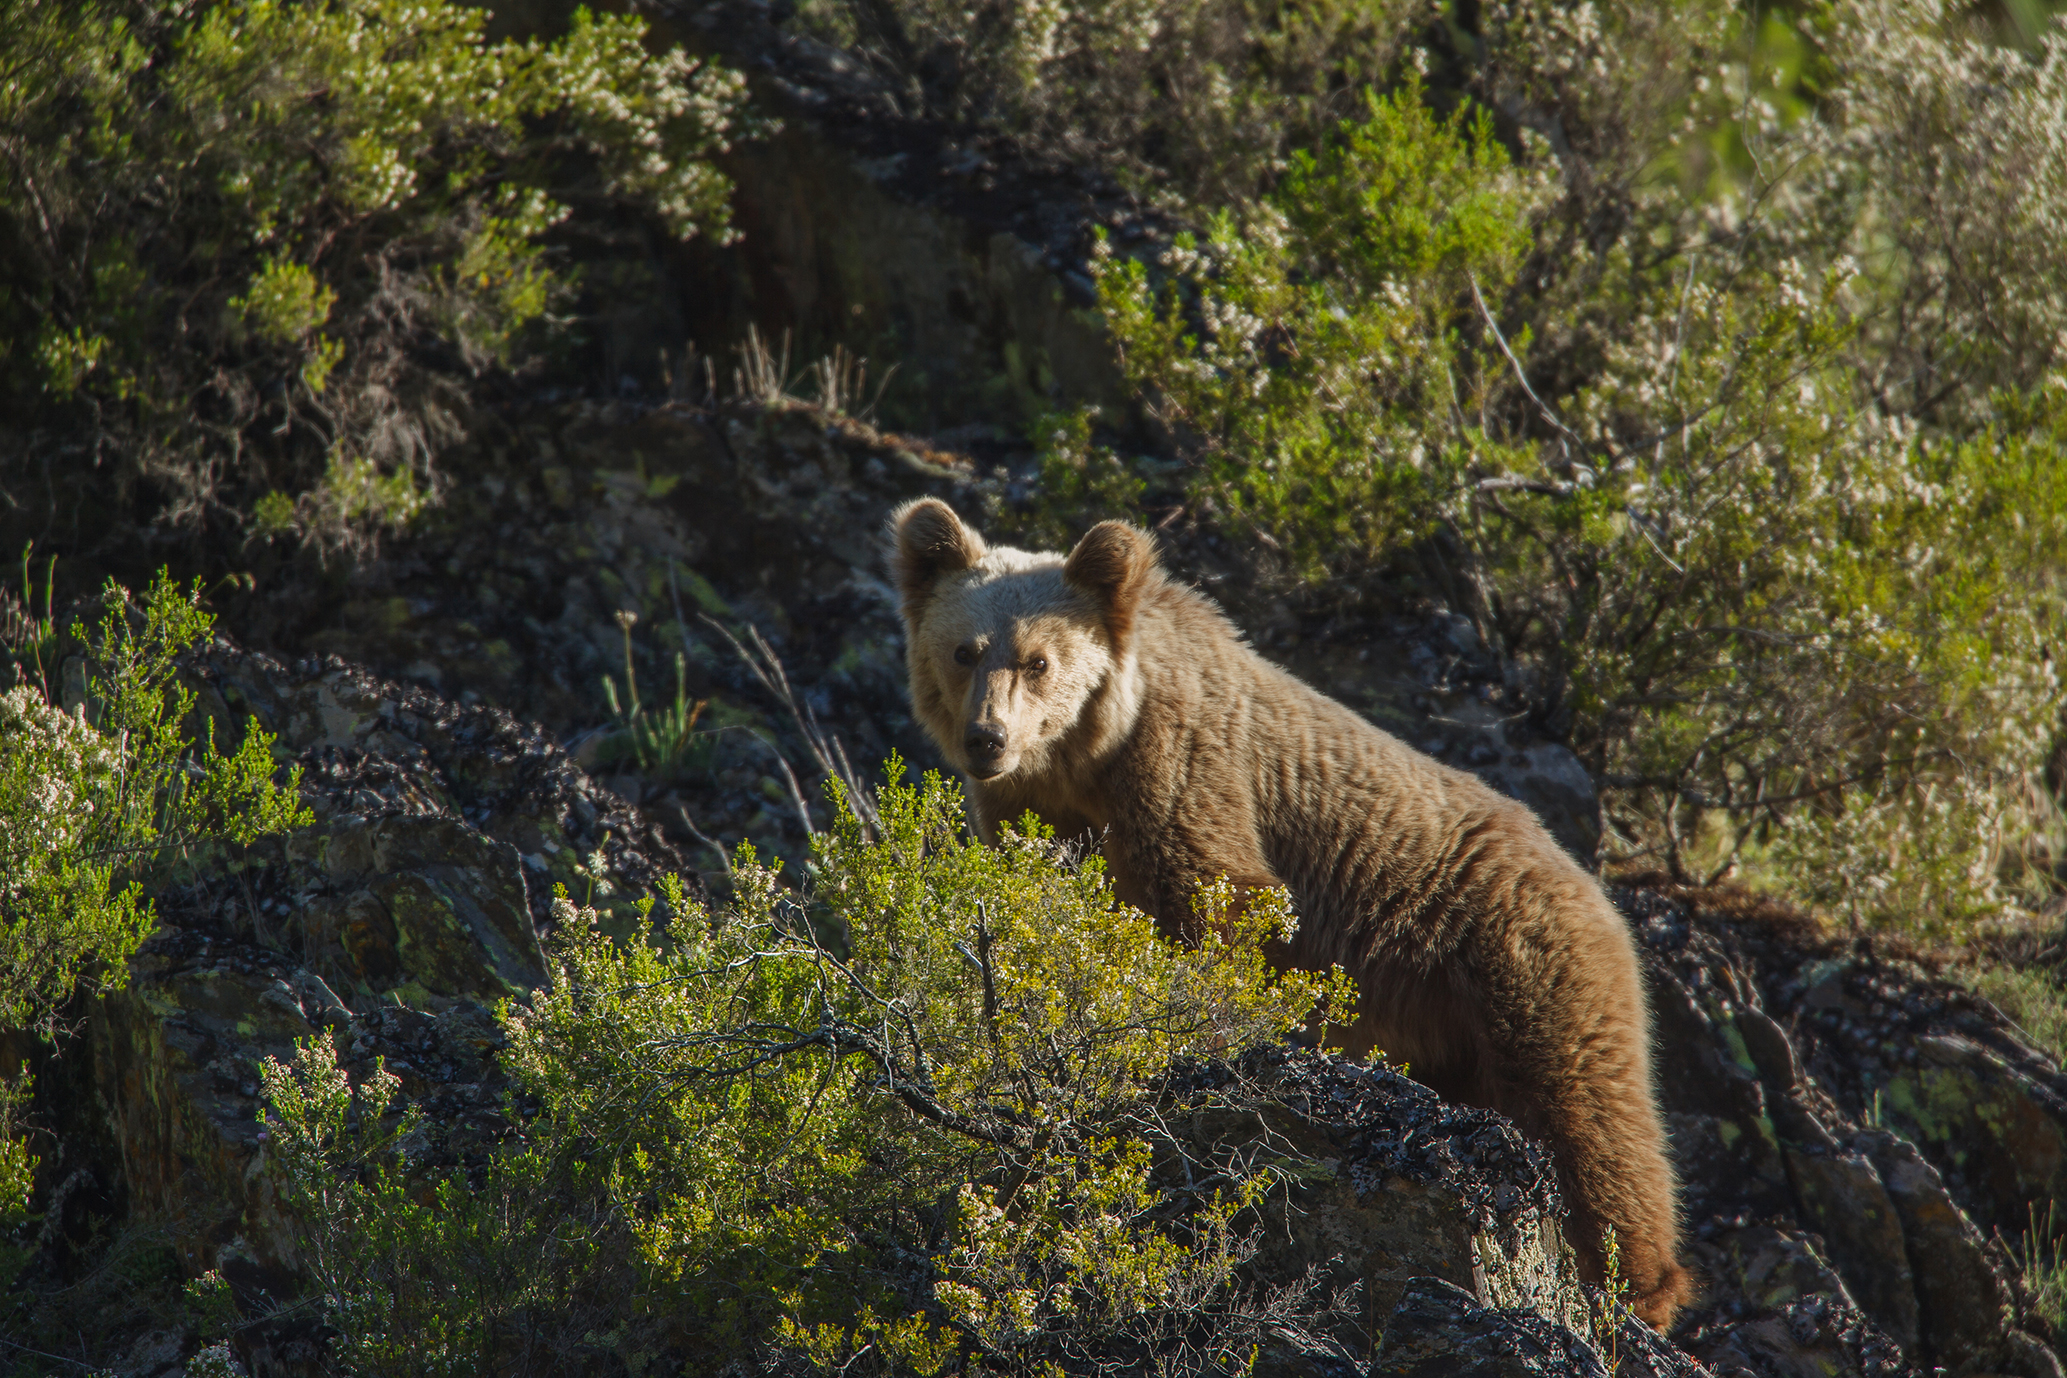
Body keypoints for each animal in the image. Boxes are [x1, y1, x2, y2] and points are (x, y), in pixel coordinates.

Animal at [889, 496, 1692, 1330]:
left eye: (1038, 660)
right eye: (963, 650)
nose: (987, 738)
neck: (1088, 758)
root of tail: (1593, 886)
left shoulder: (1183, 770)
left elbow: (1219, 900)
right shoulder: (1037, 813)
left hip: (1519, 963)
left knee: (1588, 1117)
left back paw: (1637, 1293)